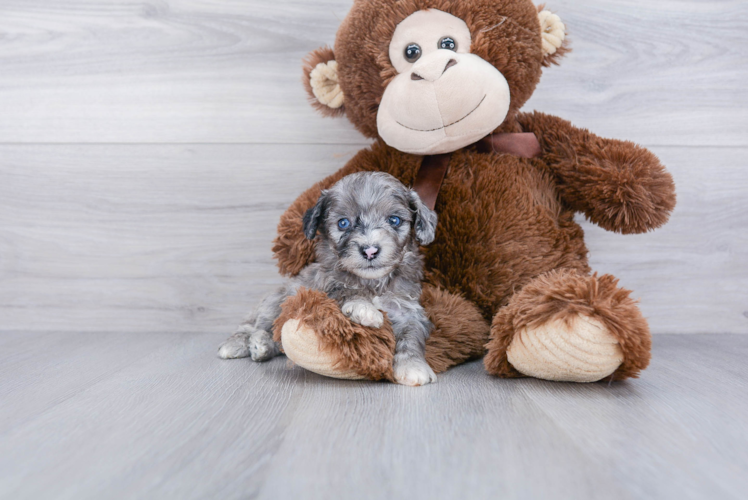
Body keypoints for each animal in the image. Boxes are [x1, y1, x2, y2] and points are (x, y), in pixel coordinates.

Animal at [218, 172, 438, 386]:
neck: (371, 282)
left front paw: (412, 367)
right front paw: (364, 309)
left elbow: (411, 336)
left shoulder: (407, 309)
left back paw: (261, 345)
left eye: (394, 220)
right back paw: (241, 343)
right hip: (276, 300)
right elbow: (344, 290)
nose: (370, 250)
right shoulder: (321, 287)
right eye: (343, 223)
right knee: (254, 325)